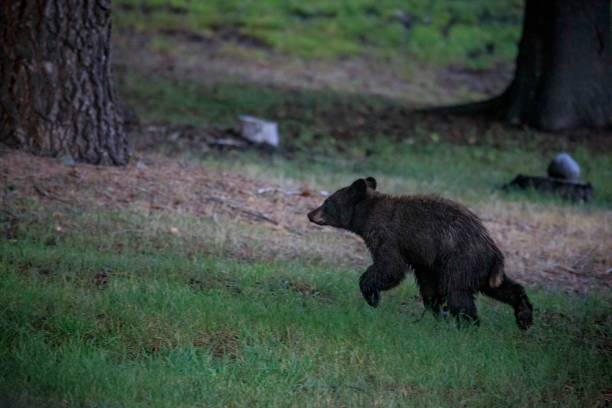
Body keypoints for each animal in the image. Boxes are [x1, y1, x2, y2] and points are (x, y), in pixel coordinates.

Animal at [308, 177, 532, 330]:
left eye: (327, 202)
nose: (310, 213)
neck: (368, 215)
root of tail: (495, 252)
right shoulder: (425, 261)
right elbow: (428, 285)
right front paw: (436, 312)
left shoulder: (389, 237)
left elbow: (390, 267)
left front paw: (372, 296)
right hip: (481, 269)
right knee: (502, 287)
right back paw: (524, 316)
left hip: (462, 261)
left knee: (458, 295)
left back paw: (468, 326)